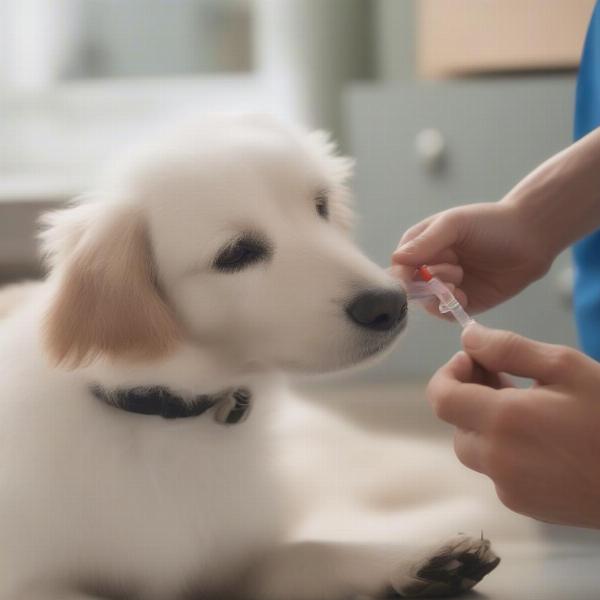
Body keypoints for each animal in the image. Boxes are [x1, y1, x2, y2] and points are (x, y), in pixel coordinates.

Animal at [0, 113, 500, 600]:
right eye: (237, 253)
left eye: (320, 205)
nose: (389, 303)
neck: (169, 420)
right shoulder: (29, 581)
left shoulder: (243, 560)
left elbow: (312, 551)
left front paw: (416, 560)